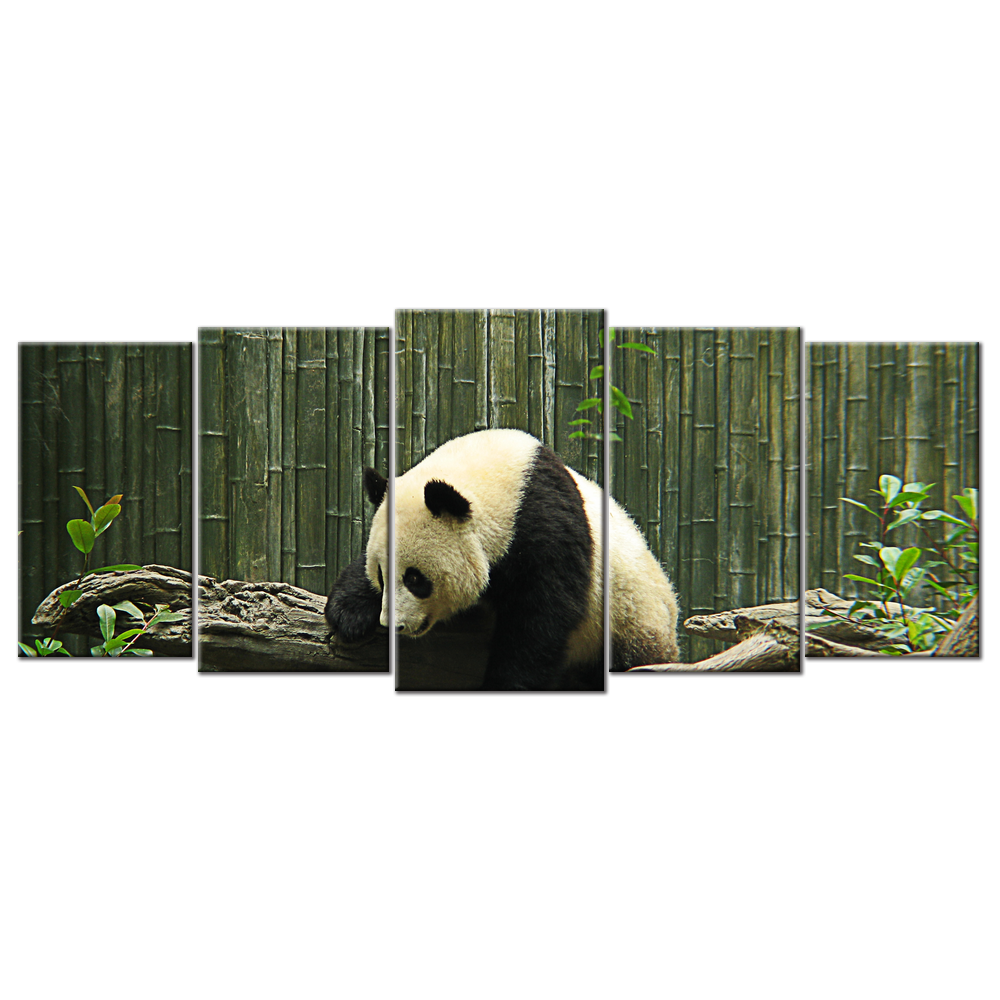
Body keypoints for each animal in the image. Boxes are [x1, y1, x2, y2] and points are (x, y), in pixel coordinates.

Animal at [325, 429, 679, 689]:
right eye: (382, 574)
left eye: (415, 579)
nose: (393, 624)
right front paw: (348, 612)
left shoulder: (547, 531)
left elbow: (542, 618)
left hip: (632, 621)